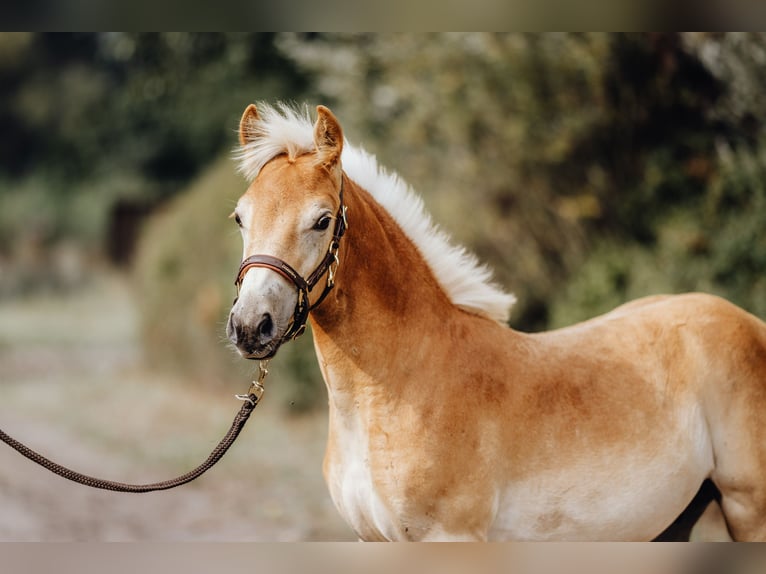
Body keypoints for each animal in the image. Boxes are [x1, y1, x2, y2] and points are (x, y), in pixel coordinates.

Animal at [225, 104, 766, 544]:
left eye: (321, 220)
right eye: (240, 218)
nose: (251, 326)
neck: (402, 386)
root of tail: (748, 323)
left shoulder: (451, 539)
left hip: (749, 512)